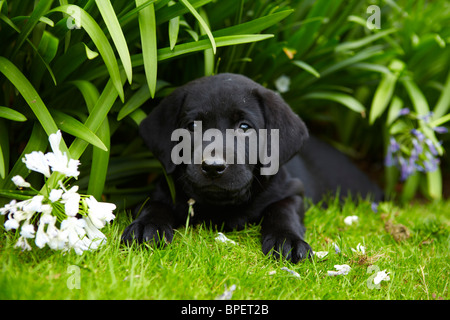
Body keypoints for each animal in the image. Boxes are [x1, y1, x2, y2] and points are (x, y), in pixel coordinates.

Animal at [120, 73, 384, 262]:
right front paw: (146, 227)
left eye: (245, 127)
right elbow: (153, 205)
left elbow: (283, 212)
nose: (213, 167)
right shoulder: (162, 190)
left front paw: (287, 241)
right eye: (192, 126)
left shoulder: (292, 191)